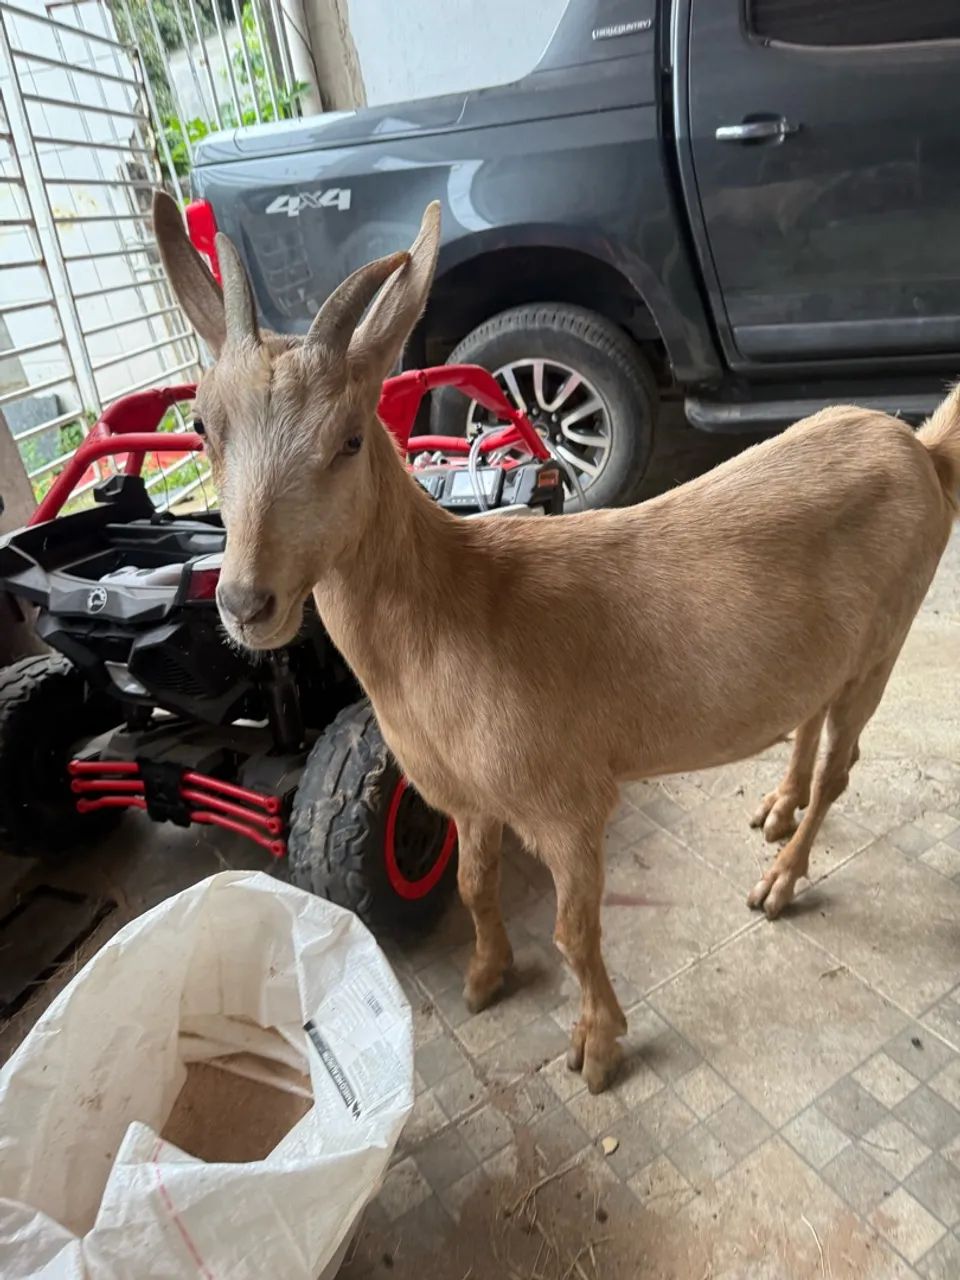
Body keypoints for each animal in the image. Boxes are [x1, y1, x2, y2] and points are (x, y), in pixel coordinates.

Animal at [154, 192, 960, 1094]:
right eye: (202, 427)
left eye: (350, 439)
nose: (245, 602)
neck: (454, 609)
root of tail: (924, 450)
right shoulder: (466, 797)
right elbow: (473, 884)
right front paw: (485, 977)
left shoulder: (568, 804)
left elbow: (576, 933)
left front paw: (598, 1048)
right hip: (832, 649)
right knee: (810, 716)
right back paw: (776, 810)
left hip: (887, 639)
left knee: (840, 767)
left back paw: (781, 878)